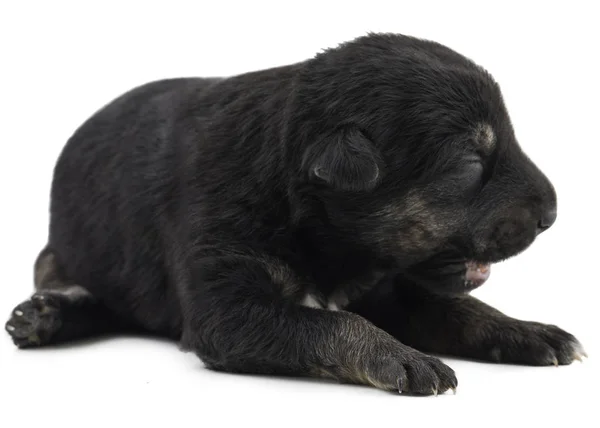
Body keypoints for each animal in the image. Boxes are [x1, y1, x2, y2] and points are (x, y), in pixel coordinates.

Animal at [5, 32, 584, 394]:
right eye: (470, 161)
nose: (553, 214)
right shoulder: (227, 304)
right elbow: (331, 323)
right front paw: (402, 356)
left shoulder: (389, 288)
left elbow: (462, 309)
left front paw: (530, 331)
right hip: (62, 254)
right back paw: (43, 316)